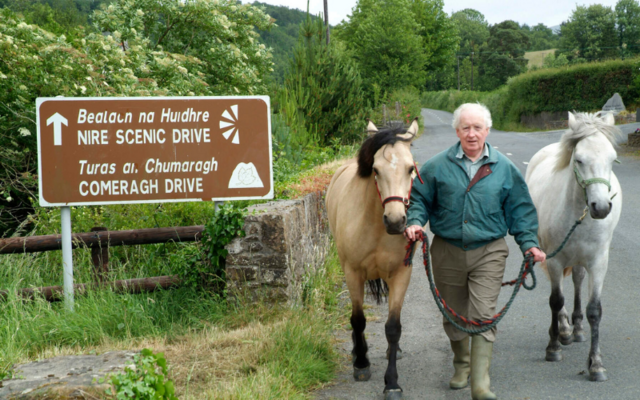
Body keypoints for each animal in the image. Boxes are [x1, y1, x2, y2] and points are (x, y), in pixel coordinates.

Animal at [324, 117, 420, 398]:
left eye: (410, 169)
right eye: (375, 169)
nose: (396, 221)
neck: (377, 228)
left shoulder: (401, 273)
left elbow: (393, 327)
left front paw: (392, 382)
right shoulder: (352, 273)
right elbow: (358, 320)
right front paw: (361, 364)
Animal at [524, 111, 620, 382]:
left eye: (612, 160)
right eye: (578, 159)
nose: (601, 207)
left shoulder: (598, 262)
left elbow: (594, 310)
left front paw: (596, 364)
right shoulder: (554, 259)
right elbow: (556, 300)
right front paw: (554, 347)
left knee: (577, 279)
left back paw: (576, 328)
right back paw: (564, 330)